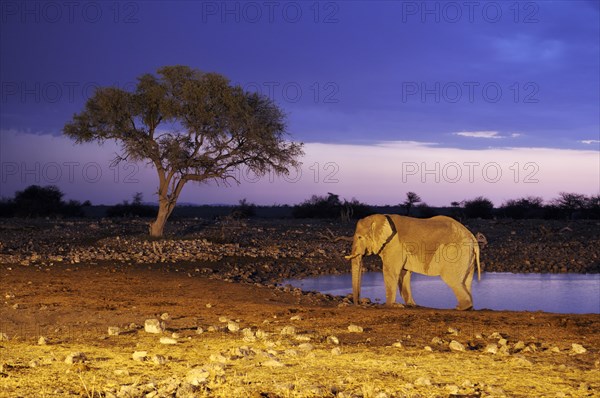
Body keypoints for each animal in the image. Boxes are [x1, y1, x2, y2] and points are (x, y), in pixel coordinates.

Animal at [344, 215, 480, 310]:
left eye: (360, 237)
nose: (359, 305)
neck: (380, 218)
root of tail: (473, 238)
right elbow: (404, 273)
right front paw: (410, 305)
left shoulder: (394, 245)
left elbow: (390, 271)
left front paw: (390, 306)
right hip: (467, 257)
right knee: (466, 281)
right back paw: (468, 307)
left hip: (455, 253)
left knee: (452, 279)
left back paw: (461, 308)